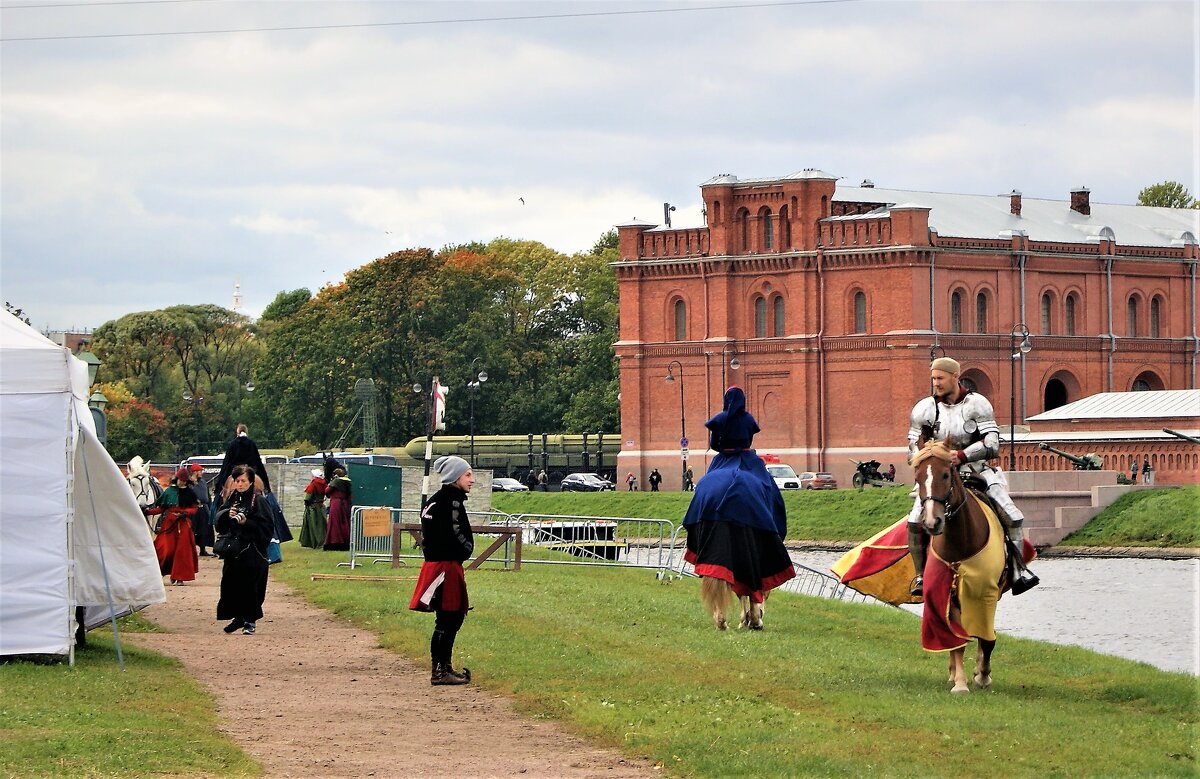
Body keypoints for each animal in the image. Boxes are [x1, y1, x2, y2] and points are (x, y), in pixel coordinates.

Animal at [912, 434, 1008, 696]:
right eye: (918, 477)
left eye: (946, 474)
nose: (932, 522)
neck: (960, 542)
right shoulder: (947, 595)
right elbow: (957, 642)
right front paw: (960, 682)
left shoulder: (987, 593)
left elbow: (987, 638)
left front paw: (982, 675)